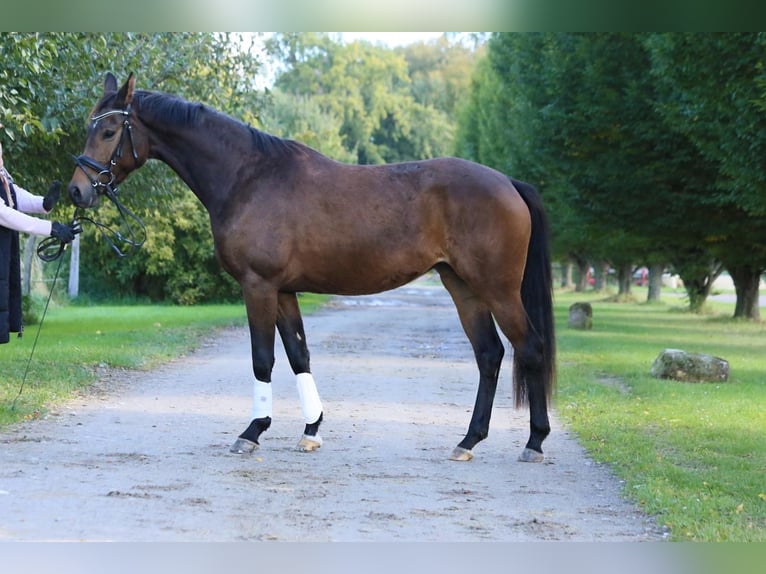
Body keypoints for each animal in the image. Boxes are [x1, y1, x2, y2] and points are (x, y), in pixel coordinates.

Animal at [67, 74, 560, 466]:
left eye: (109, 130)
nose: (76, 192)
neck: (249, 177)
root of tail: (507, 182)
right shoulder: (284, 291)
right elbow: (298, 355)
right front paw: (311, 431)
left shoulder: (259, 286)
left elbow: (263, 358)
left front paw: (251, 433)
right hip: (462, 287)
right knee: (489, 355)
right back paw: (468, 441)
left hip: (497, 289)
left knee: (529, 348)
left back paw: (534, 442)